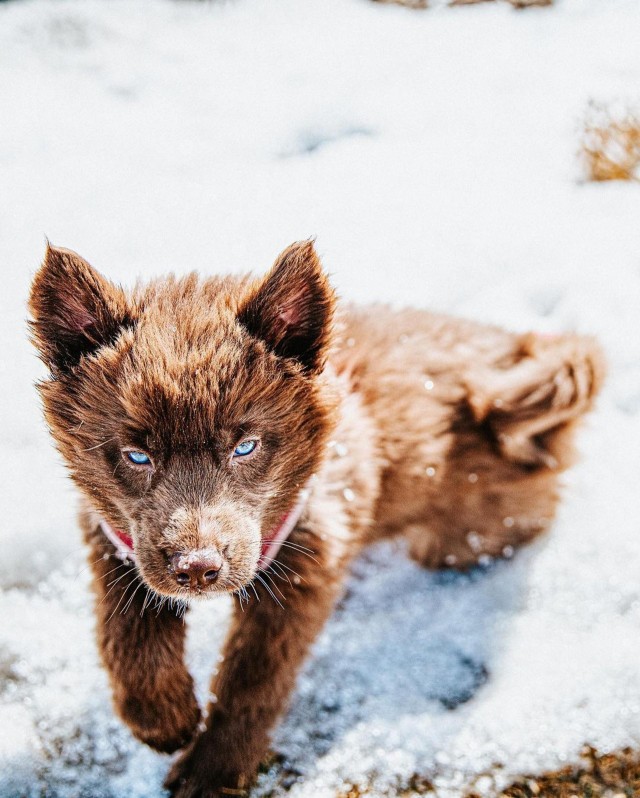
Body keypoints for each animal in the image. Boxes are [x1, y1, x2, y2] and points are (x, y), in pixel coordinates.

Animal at [27, 244, 604, 798]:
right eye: (136, 456)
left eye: (245, 446)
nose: (198, 569)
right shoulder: (115, 541)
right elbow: (125, 637)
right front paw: (163, 719)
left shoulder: (303, 568)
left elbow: (253, 680)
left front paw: (214, 769)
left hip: (472, 531)